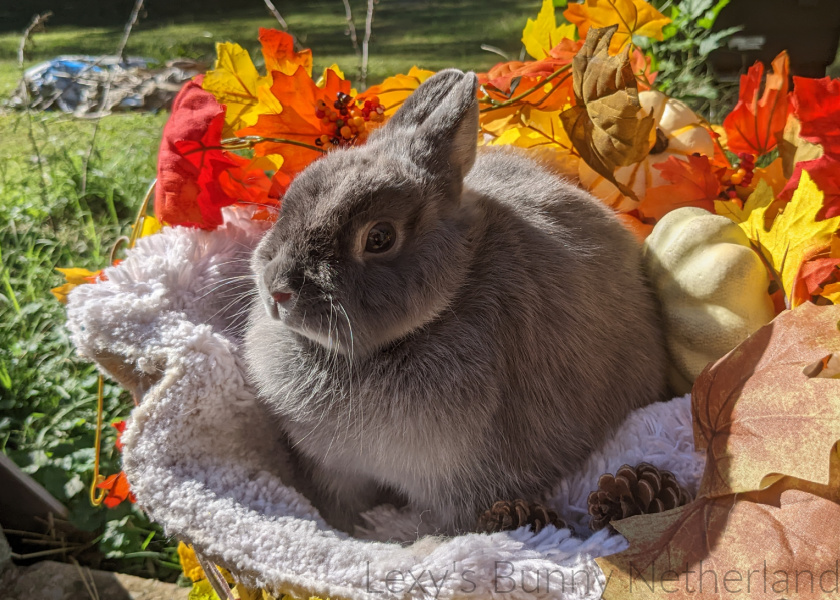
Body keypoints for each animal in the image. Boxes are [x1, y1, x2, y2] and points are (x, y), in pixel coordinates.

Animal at [244, 68, 668, 534]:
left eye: (380, 237)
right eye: (290, 200)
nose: (277, 289)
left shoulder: (465, 485)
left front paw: (391, 535)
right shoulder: (335, 471)